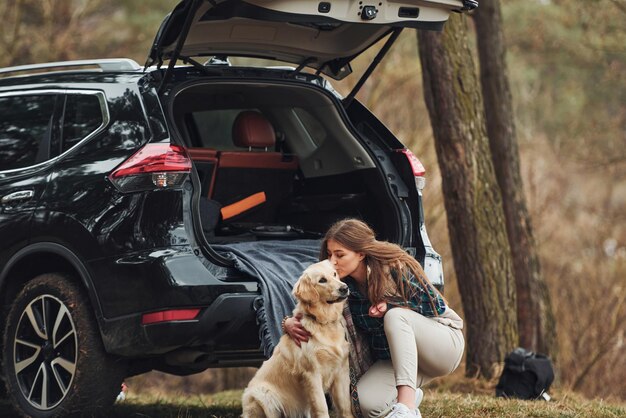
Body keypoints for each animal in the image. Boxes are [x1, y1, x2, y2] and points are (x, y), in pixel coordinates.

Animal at [241, 260, 352, 416]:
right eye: (322, 280)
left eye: (334, 274)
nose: (344, 288)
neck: (323, 322)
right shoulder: (312, 374)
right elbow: (322, 407)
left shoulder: (341, 371)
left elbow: (345, 406)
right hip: (263, 394)